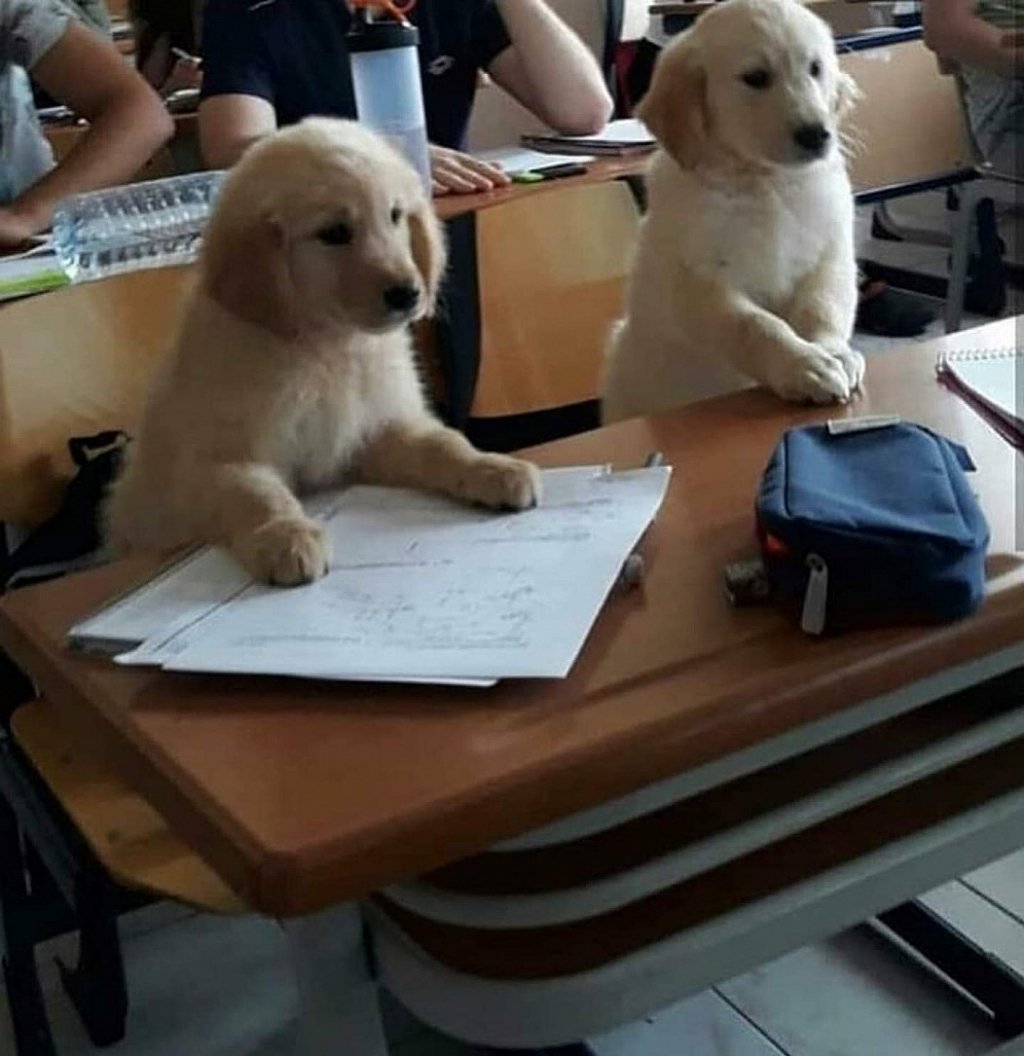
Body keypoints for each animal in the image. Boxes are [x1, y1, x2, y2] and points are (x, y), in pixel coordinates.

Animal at [106, 118, 540, 586]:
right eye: (334, 233)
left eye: (395, 216)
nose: (408, 294)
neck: (329, 348)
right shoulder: (214, 464)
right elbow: (256, 494)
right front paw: (286, 535)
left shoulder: (375, 432)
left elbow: (444, 443)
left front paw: (492, 468)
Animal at [602, 0, 866, 423]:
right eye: (755, 78)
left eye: (815, 68)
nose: (817, 134)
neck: (764, 183)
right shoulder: (700, 281)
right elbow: (755, 325)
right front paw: (806, 366)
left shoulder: (831, 255)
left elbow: (822, 307)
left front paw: (834, 354)